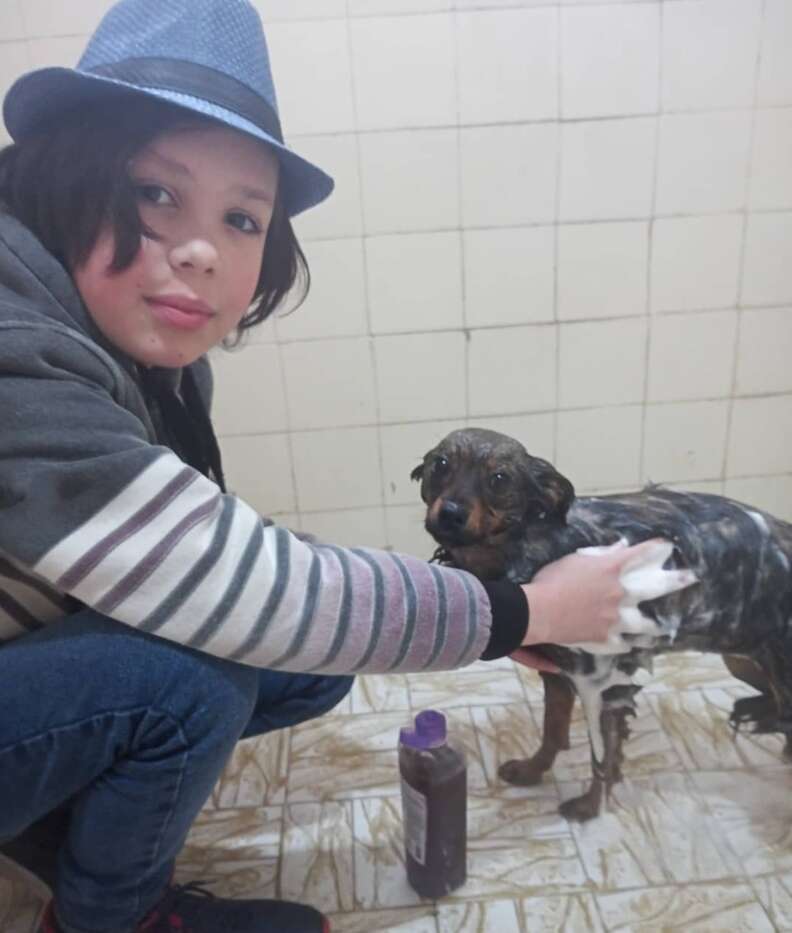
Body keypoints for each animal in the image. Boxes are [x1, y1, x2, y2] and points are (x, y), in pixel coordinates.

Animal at [412, 426, 792, 820]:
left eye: (499, 479)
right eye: (441, 465)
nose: (451, 513)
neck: (526, 547)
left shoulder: (605, 684)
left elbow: (603, 757)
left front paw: (590, 806)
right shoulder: (556, 676)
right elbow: (552, 732)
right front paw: (533, 770)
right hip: (742, 657)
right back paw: (758, 714)